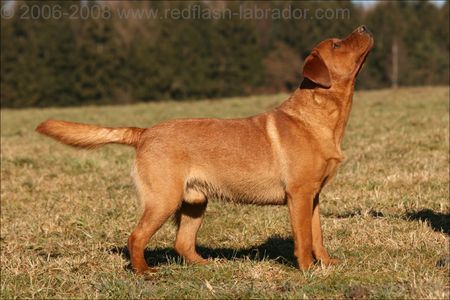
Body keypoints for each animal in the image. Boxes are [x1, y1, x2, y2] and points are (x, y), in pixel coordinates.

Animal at [36, 25, 372, 274]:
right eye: (337, 45)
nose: (364, 27)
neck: (320, 116)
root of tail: (145, 132)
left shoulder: (313, 196)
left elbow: (318, 235)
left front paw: (326, 264)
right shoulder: (299, 195)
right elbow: (303, 238)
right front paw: (307, 270)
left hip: (194, 201)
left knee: (182, 244)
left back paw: (207, 265)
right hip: (163, 199)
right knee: (136, 237)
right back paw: (144, 271)